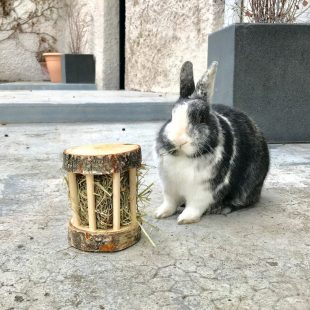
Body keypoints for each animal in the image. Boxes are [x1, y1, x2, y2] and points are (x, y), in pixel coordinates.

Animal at [155, 60, 268, 224]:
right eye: (171, 116)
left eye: (201, 118)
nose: (178, 140)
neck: (184, 157)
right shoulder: (170, 187)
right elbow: (169, 203)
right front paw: (160, 213)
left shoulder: (203, 190)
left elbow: (194, 207)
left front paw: (184, 219)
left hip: (248, 186)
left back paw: (222, 208)